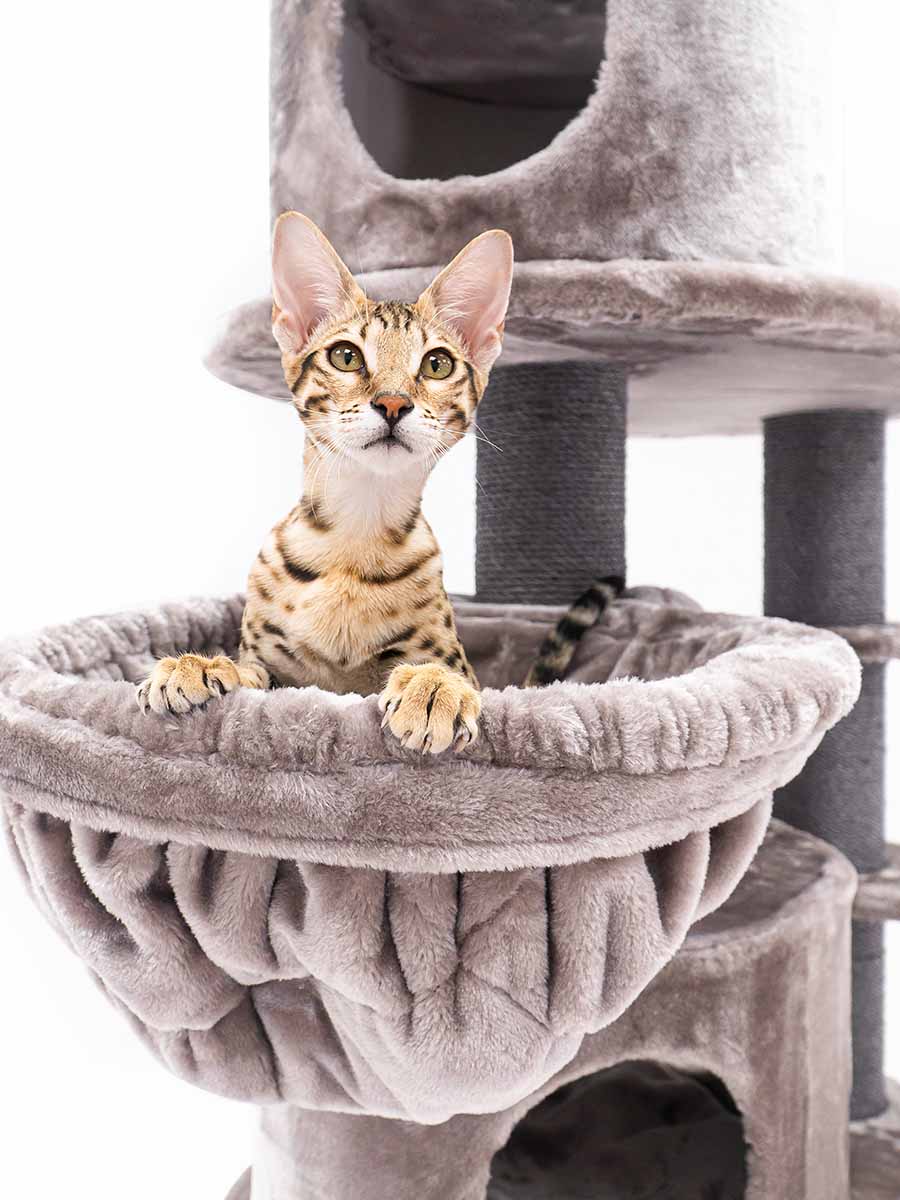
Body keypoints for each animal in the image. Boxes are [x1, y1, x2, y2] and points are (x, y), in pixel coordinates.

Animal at [137, 212, 513, 755]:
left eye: (437, 364)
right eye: (346, 356)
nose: (394, 403)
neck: (355, 532)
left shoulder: (455, 659)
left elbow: (451, 673)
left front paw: (432, 687)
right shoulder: (272, 668)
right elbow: (249, 672)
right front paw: (198, 665)